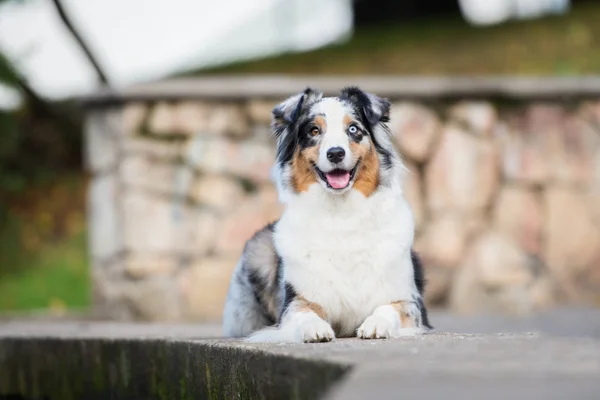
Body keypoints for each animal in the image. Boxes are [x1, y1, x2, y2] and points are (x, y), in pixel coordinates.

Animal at [220, 86, 432, 342]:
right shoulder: (295, 302)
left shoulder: (410, 302)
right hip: (258, 249)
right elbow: (303, 313)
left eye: (353, 129)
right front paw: (314, 328)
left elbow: (389, 308)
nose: (336, 153)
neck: (341, 216)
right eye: (314, 131)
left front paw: (376, 324)